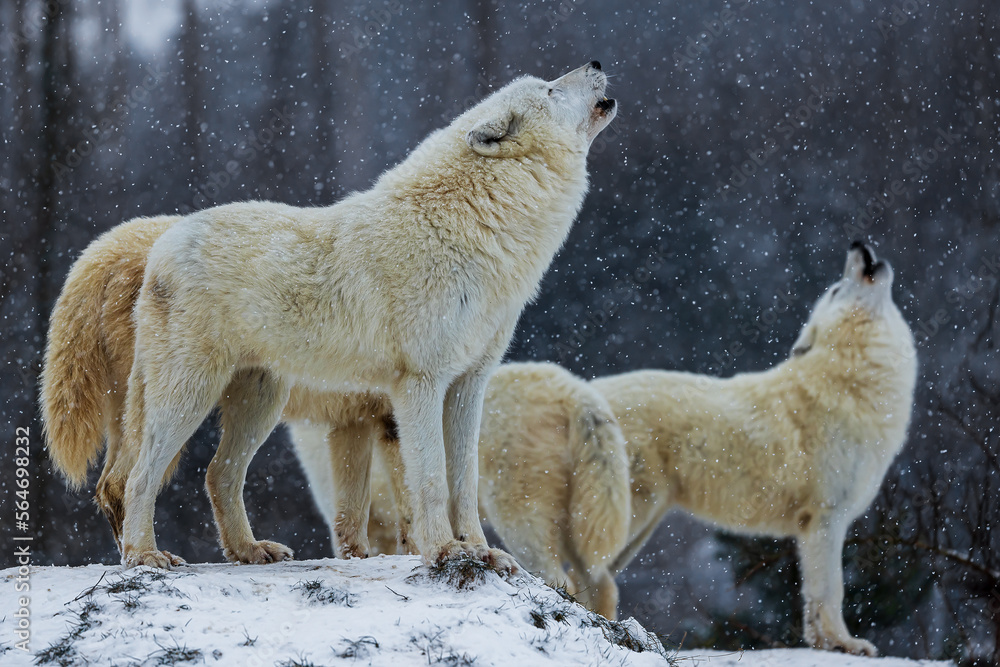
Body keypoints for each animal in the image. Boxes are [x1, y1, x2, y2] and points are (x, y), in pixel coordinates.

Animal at [42, 62, 617, 572]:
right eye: (550, 89)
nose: (595, 62)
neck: (472, 225)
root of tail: (159, 242)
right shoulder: (418, 385)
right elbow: (430, 481)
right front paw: (444, 553)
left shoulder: (468, 385)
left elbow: (463, 482)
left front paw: (482, 552)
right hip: (188, 397)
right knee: (136, 479)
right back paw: (144, 557)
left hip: (259, 402)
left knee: (215, 475)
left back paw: (249, 551)